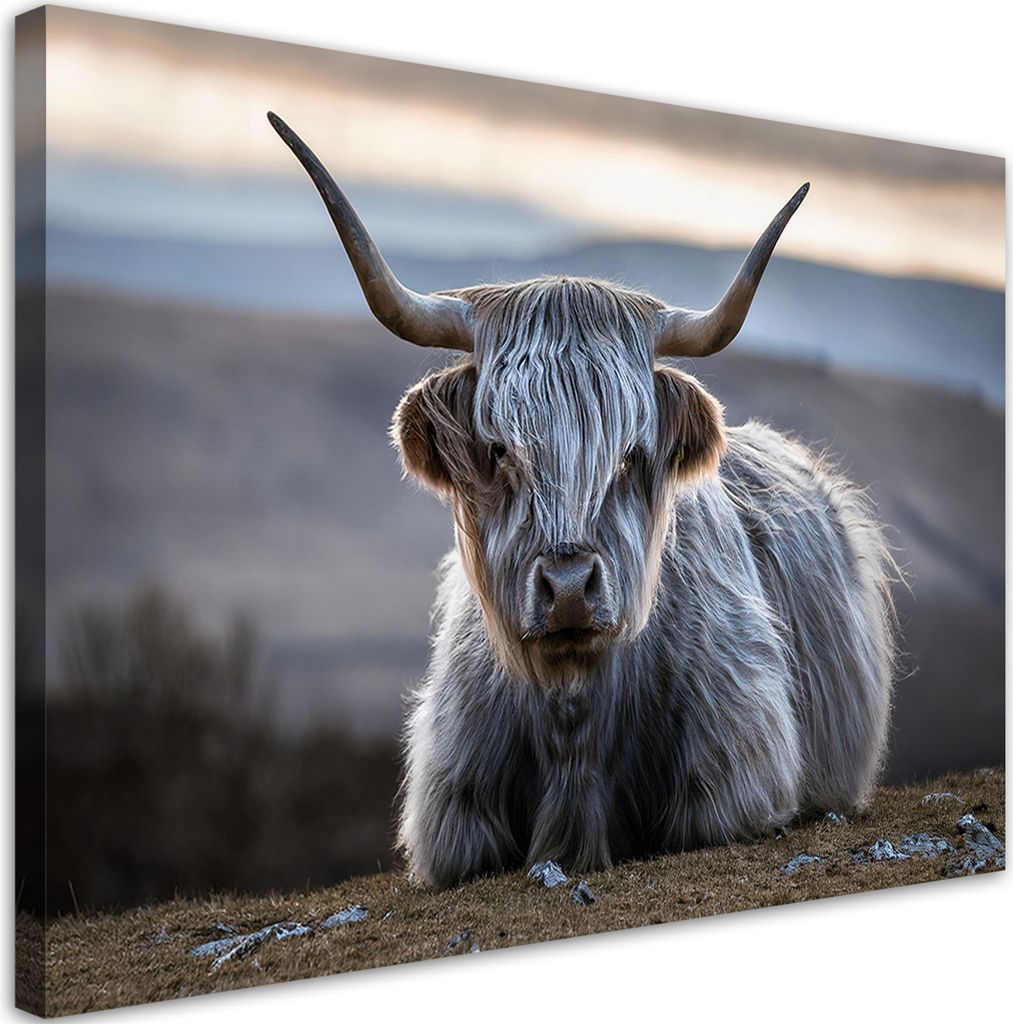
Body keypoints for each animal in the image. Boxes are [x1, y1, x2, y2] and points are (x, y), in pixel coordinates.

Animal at [269, 112, 897, 888]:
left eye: (627, 454)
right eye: (500, 450)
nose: (568, 587)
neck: (574, 723)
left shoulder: (737, 782)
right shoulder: (451, 814)